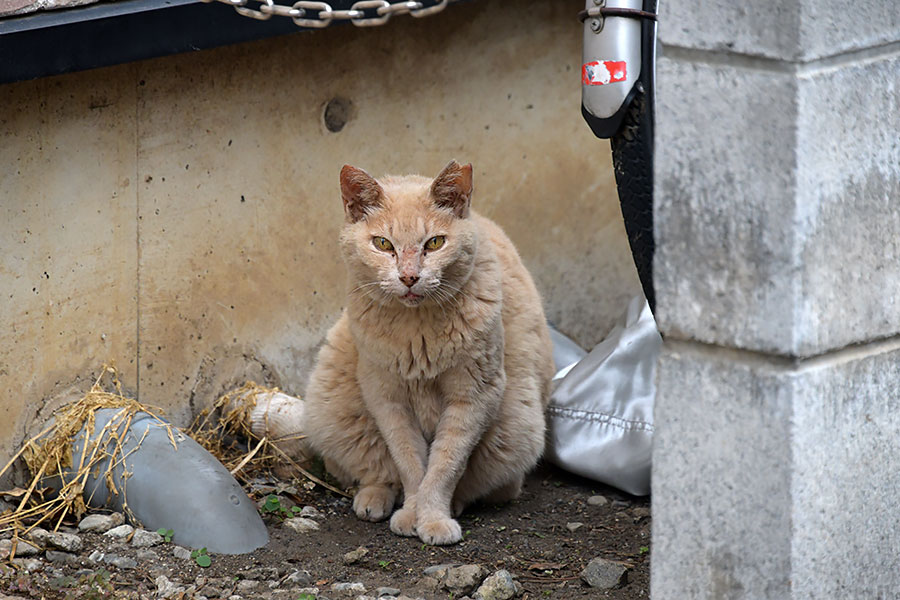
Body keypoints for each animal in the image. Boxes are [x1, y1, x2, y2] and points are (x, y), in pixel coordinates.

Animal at [304, 159, 556, 544]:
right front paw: (412, 513)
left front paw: (434, 518)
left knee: (495, 485)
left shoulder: (475, 396)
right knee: (375, 470)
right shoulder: (386, 397)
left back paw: (456, 505)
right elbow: (408, 462)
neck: (416, 332)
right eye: (383, 244)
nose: (409, 277)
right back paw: (373, 499)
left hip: (519, 424)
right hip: (331, 397)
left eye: (435, 243)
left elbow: (444, 465)